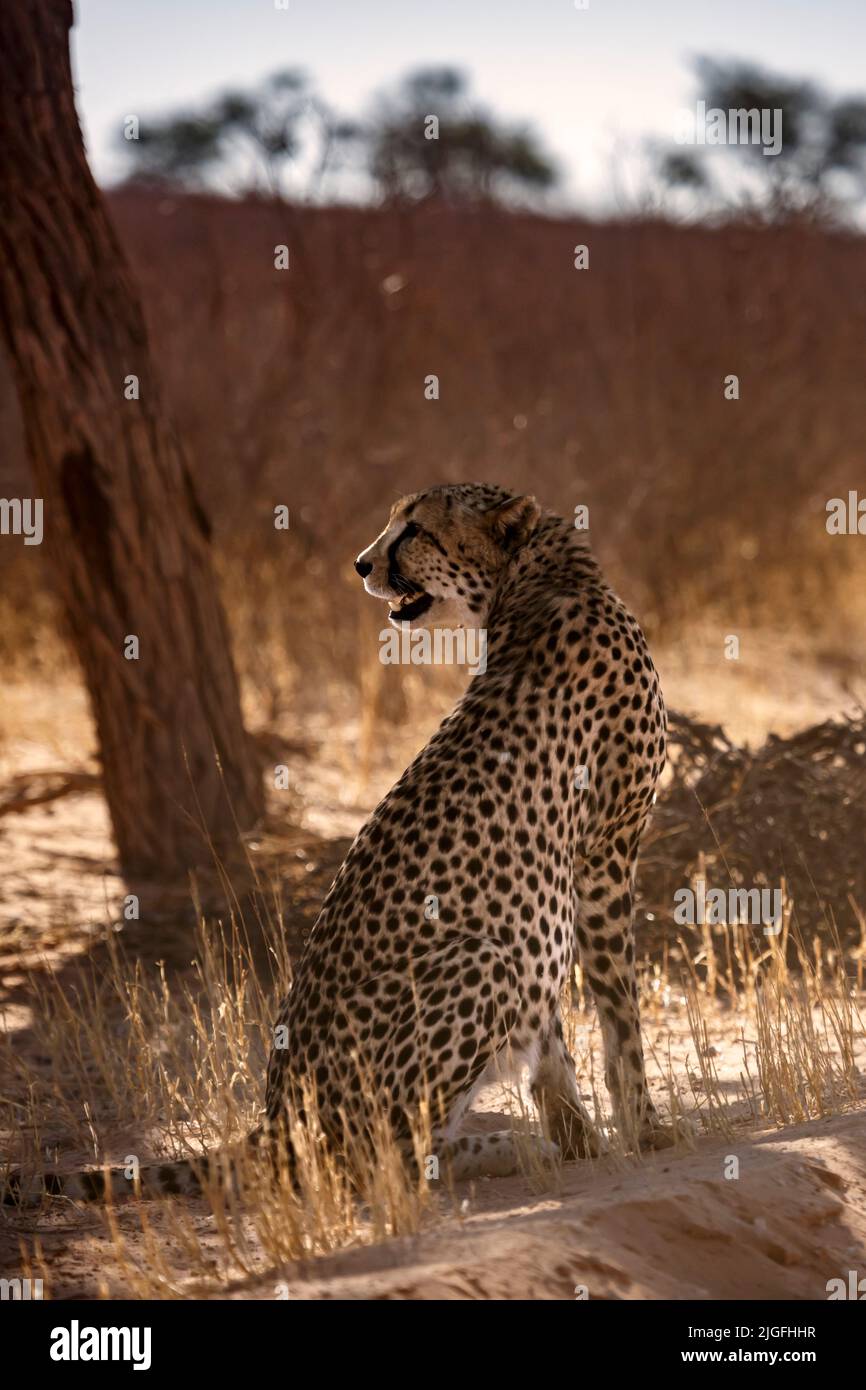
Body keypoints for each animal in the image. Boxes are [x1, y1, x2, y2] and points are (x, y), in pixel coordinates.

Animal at [5, 483, 670, 1200]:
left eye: (415, 529)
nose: (361, 564)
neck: (534, 578)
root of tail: (273, 1116)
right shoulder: (606, 848)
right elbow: (620, 1010)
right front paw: (648, 1130)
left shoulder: (558, 890)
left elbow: (558, 1042)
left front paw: (585, 1138)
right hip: (483, 962)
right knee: (378, 1158)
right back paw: (512, 1148)